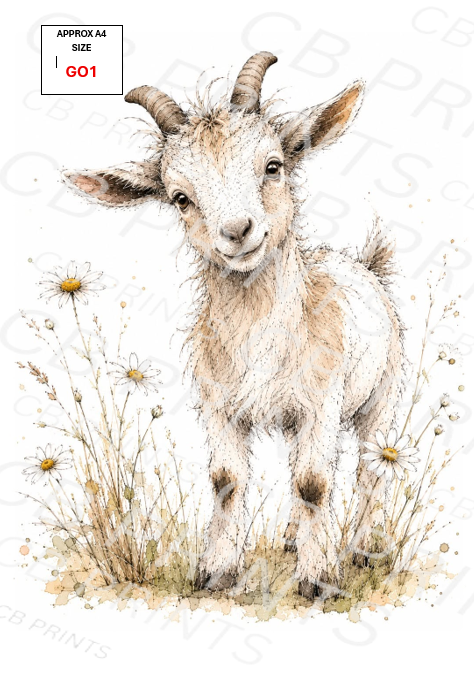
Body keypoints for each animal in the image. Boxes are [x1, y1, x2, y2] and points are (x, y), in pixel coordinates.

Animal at [63, 52, 404, 599]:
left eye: (273, 165)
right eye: (180, 197)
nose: (238, 232)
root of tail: (364, 265)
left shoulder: (321, 403)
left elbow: (314, 482)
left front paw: (318, 578)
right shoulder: (220, 405)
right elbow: (227, 479)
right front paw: (216, 572)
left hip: (381, 395)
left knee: (371, 466)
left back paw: (361, 549)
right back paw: (291, 539)